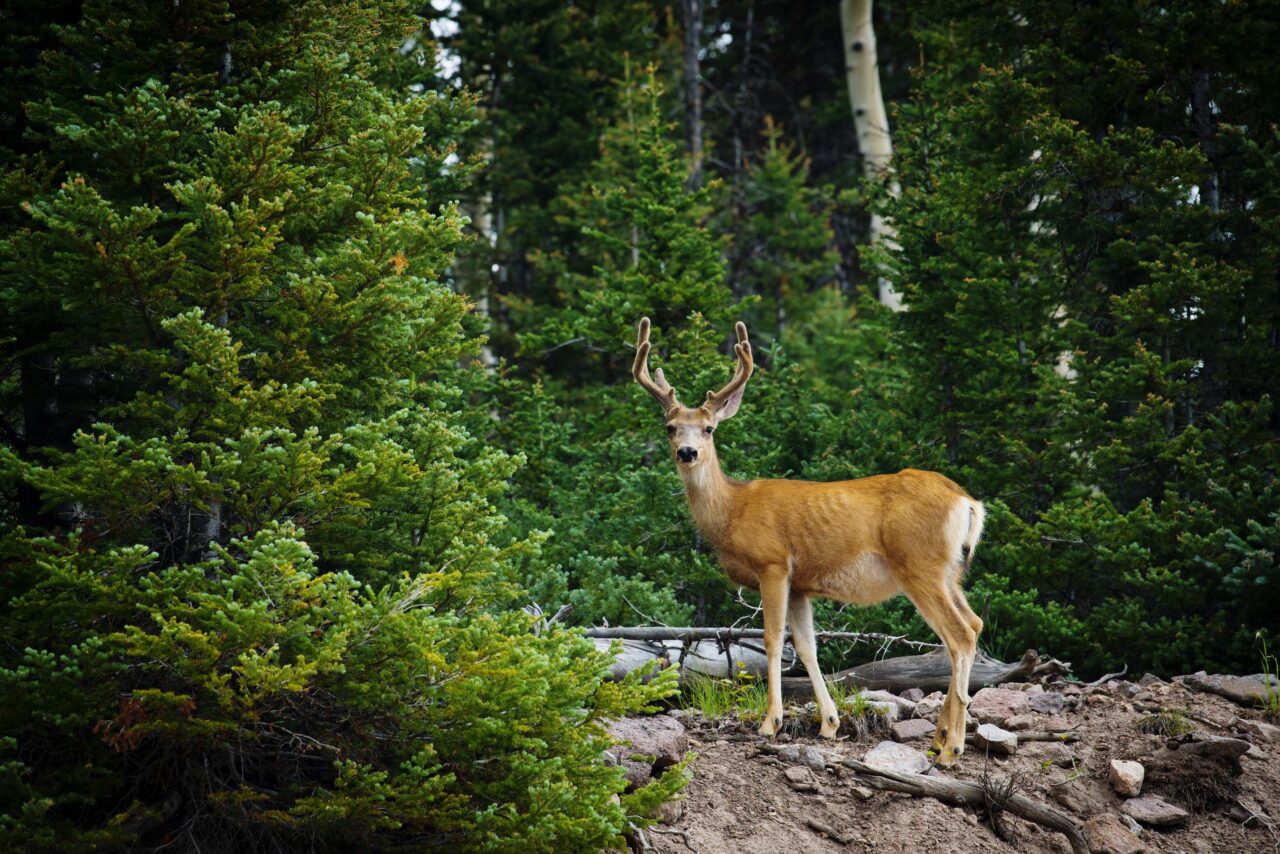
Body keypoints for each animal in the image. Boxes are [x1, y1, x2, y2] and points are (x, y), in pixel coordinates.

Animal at [634, 317, 983, 763]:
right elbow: (806, 647)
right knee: (974, 624)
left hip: (920, 564)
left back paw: (951, 747)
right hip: (950, 570)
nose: (688, 452)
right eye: (670, 428)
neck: (732, 510)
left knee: (960, 636)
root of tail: (967, 501)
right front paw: (829, 724)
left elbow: (771, 640)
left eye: (709, 428)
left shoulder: (773, 564)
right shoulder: (801, 584)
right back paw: (940, 736)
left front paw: (770, 723)